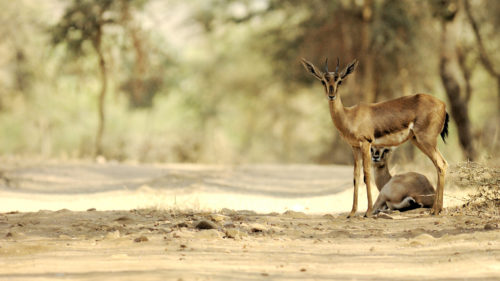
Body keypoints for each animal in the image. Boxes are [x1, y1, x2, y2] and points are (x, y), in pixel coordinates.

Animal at [300, 55, 450, 215]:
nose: (331, 95)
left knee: (441, 164)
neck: (349, 115)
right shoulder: (355, 147)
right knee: (439, 165)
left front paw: (368, 212)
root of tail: (443, 105)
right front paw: (352, 213)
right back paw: (436, 208)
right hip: (417, 140)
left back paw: (436, 210)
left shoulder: (366, 143)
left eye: (339, 80)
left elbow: (366, 174)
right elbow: (356, 176)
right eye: (323, 81)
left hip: (426, 140)